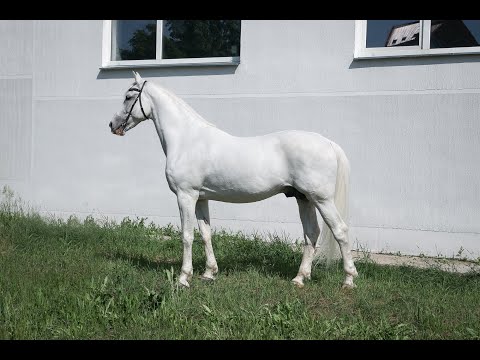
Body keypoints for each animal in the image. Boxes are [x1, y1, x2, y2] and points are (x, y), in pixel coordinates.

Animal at [109, 71, 356, 288]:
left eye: (129, 96)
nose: (112, 125)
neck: (187, 139)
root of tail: (327, 142)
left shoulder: (185, 196)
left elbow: (187, 235)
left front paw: (184, 278)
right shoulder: (201, 198)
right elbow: (206, 234)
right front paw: (209, 273)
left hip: (321, 199)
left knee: (340, 231)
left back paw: (348, 280)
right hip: (303, 198)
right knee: (311, 234)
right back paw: (299, 279)